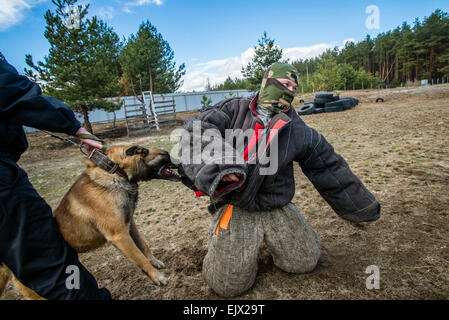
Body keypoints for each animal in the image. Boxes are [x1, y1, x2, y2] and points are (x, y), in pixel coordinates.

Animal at [0, 145, 180, 300]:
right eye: (166, 154)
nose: (181, 161)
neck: (116, 171)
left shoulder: (130, 224)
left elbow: (143, 245)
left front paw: (155, 262)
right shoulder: (120, 236)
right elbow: (140, 258)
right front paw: (157, 277)